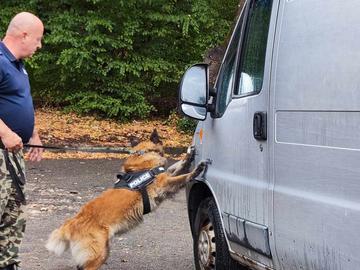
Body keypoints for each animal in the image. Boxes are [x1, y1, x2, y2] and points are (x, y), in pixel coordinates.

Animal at [45, 130, 205, 268]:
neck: (144, 156)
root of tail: (72, 222)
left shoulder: (166, 175)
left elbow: (177, 166)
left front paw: (188, 156)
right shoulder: (164, 182)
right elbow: (183, 176)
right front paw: (196, 170)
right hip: (99, 255)